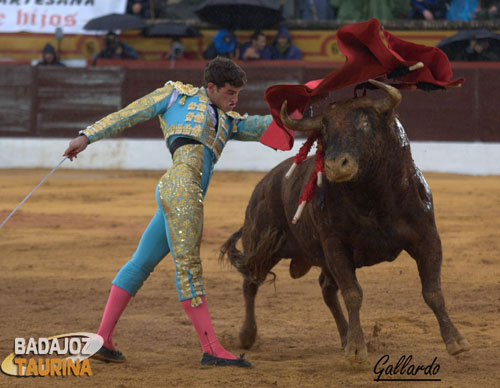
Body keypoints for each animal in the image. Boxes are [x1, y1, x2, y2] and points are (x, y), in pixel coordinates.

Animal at [221, 79, 470, 360]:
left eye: (365, 123)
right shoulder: (335, 246)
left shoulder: (427, 237)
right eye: (325, 132)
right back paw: (247, 335)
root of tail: (262, 185)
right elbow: (353, 294)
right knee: (251, 283)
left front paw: (455, 341)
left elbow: (433, 291)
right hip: (263, 244)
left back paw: (343, 335)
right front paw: (356, 348)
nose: (335, 166)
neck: (374, 199)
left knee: (326, 289)